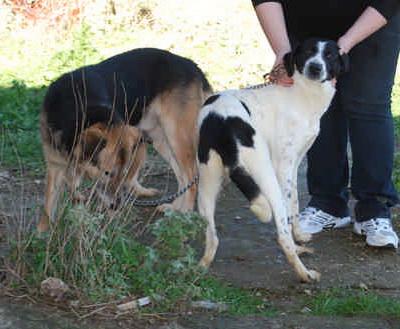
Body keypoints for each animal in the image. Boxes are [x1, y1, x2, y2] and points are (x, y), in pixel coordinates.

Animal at [38, 47, 212, 232]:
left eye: (123, 172)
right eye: (107, 172)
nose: (117, 205)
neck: (75, 109)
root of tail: (193, 66)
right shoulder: (55, 164)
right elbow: (49, 201)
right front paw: (42, 231)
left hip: (177, 137)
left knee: (192, 177)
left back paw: (185, 213)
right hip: (162, 140)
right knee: (183, 177)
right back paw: (175, 209)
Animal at [198, 37, 348, 280]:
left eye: (330, 55)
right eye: (308, 52)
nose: (315, 68)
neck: (303, 92)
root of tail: (221, 119)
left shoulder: (293, 166)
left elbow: (294, 202)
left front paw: (300, 235)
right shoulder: (282, 168)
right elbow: (287, 211)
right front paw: (297, 240)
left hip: (207, 182)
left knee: (212, 236)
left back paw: (202, 265)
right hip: (265, 174)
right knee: (281, 235)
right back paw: (304, 272)